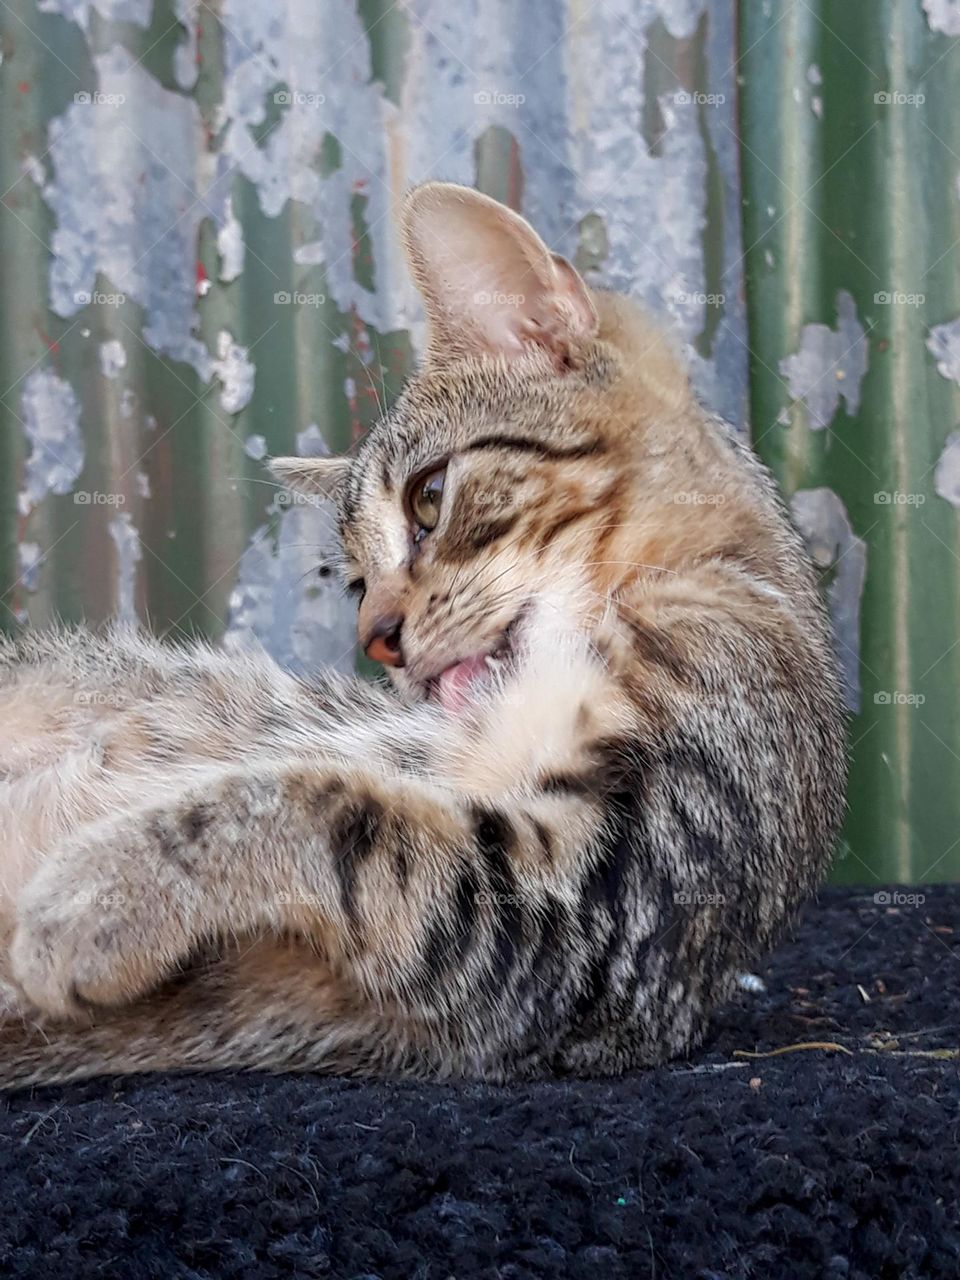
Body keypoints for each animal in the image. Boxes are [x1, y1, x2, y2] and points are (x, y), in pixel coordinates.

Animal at [0, 185, 844, 1085]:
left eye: (429, 499)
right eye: (356, 584)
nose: (377, 636)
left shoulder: (600, 916)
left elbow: (323, 807)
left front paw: (93, 896)